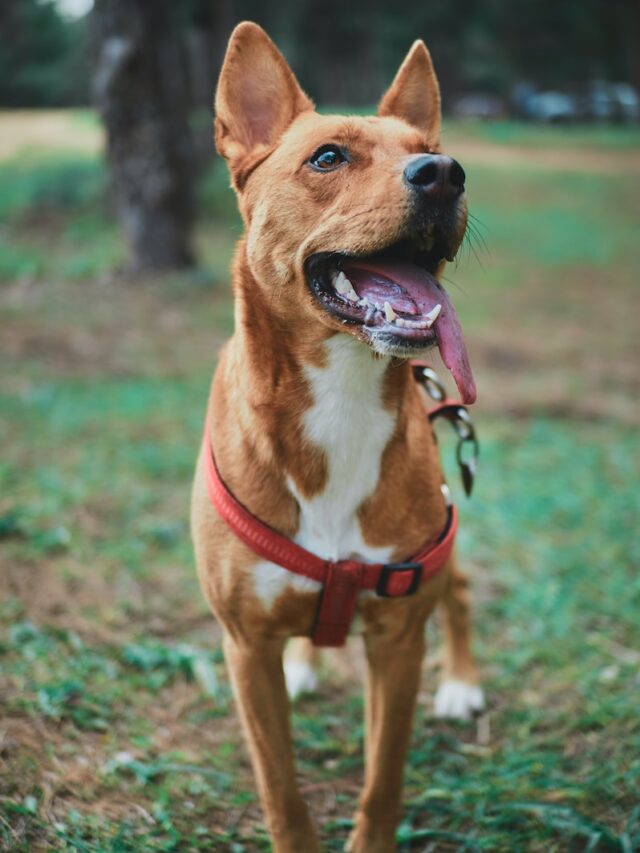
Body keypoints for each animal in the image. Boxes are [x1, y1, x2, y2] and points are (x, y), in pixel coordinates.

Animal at [190, 21, 484, 852]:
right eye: (327, 157)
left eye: (428, 146)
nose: (445, 174)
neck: (341, 393)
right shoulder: (245, 647)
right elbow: (279, 784)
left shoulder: (397, 639)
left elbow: (383, 778)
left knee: (462, 591)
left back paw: (463, 683)